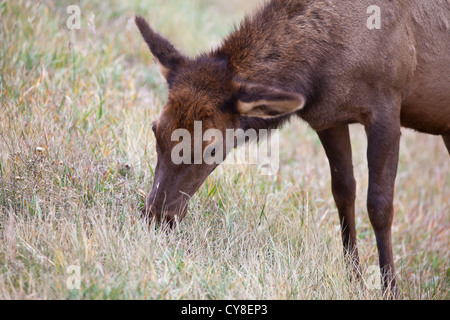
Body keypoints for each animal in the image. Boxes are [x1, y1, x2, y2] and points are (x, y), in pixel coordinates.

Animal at [134, 0, 450, 298]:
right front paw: (354, 280)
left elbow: (380, 205)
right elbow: (343, 192)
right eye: (155, 129)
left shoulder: (387, 108)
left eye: (212, 149)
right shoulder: (329, 117)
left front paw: (390, 289)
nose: (156, 216)